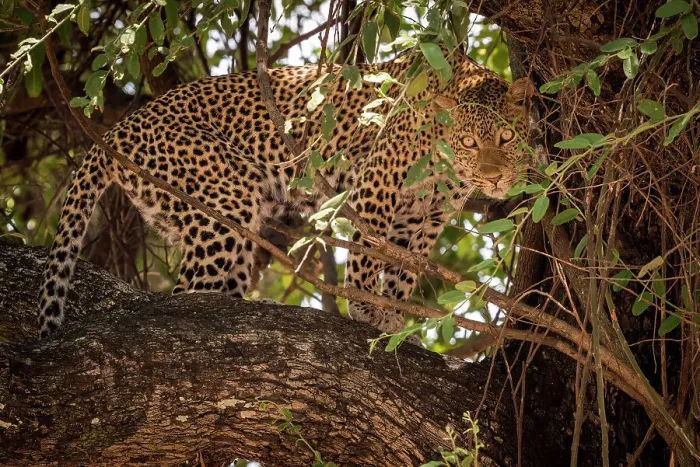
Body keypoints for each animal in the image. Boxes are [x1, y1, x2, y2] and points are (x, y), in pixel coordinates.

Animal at [37, 46, 533, 338]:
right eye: (470, 142)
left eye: (506, 138)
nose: (493, 179)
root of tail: (118, 128)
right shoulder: (379, 180)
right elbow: (369, 250)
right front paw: (364, 306)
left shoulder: (425, 215)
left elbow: (404, 265)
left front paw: (392, 311)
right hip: (222, 201)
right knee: (183, 295)